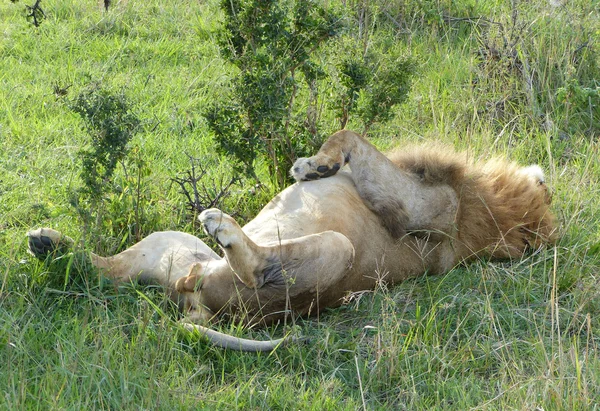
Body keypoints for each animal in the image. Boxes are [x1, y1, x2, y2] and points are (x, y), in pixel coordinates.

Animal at [28, 131, 556, 350]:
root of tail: (196, 302)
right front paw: (317, 165)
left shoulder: (424, 207)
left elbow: (351, 133)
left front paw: (312, 166)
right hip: (170, 245)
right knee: (107, 269)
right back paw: (49, 244)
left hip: (334, 251)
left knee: (258, 266)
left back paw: (225, 227)